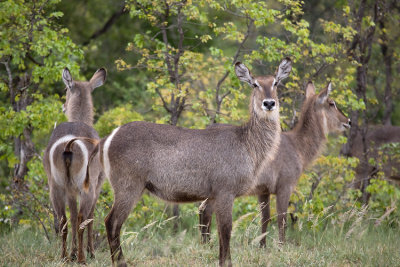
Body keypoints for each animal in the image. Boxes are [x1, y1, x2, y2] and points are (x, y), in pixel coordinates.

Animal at [42, 67, 106, 264]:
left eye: (65, 90)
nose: (63, 106)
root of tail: (69, 144)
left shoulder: (70, 191)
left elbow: (70, 215)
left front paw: (72, 252)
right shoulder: (97, 186)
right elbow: (90, 218)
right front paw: (91, 252)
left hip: (56, 186)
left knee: (63, 220)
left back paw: (64, 257)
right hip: (86, 187)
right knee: (81, 219)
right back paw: (82, 259)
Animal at [81, 57, 292, 266]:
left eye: (275, 82)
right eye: (255, 84)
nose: (269, 103)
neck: (248, 144)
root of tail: (107, 138)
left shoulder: (213, 195)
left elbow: (217, 232)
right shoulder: (225, 191)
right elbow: (226, 231)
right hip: (128, 186)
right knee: (111, 222)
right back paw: (120, 262)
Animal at [200, 82, 350, 246]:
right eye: (332, 103)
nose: (348, 121)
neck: (298, 146)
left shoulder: (263, 190)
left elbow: (265, 218)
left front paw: (262, 246)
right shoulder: (285, 186)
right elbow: (281, 219)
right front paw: (281, 246)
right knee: (206, 211)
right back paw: (207, 245)